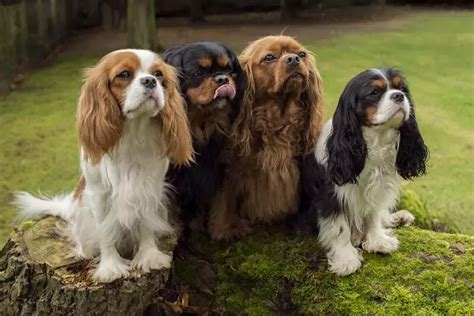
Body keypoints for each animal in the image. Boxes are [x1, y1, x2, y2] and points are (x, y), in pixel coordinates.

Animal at [164, 42, 244, 233]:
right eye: (199, 73)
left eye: (228, 69)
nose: (222, 79)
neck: (200, 123)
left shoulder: (222, 166)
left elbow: (223, 199)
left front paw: (224, 231)